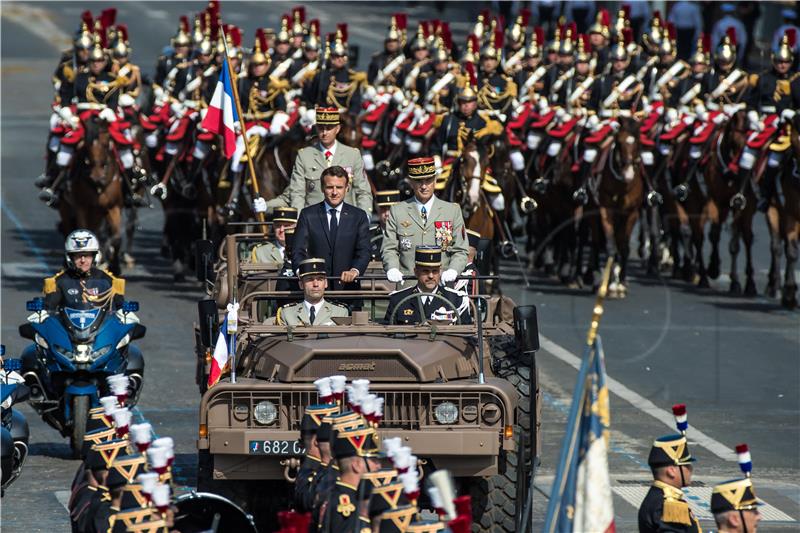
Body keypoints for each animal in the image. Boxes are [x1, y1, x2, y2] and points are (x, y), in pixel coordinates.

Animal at [58, 117, 124, 274]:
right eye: (87, 146)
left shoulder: (113, 207)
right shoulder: (82, 207)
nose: (97, 177)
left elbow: (116, 238)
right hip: (66, 207)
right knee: (68, 228)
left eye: (106, 144)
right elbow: (81, 230)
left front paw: (115, 267)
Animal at [700, 110, 756, 296]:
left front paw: (738, 282)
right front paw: (713, 267)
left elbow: (735, 244)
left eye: (748, 145)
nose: (738, 172)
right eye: (734, 140)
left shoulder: (738, 205)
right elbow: (714, 234)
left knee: (744, 238)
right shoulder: (716, 200)